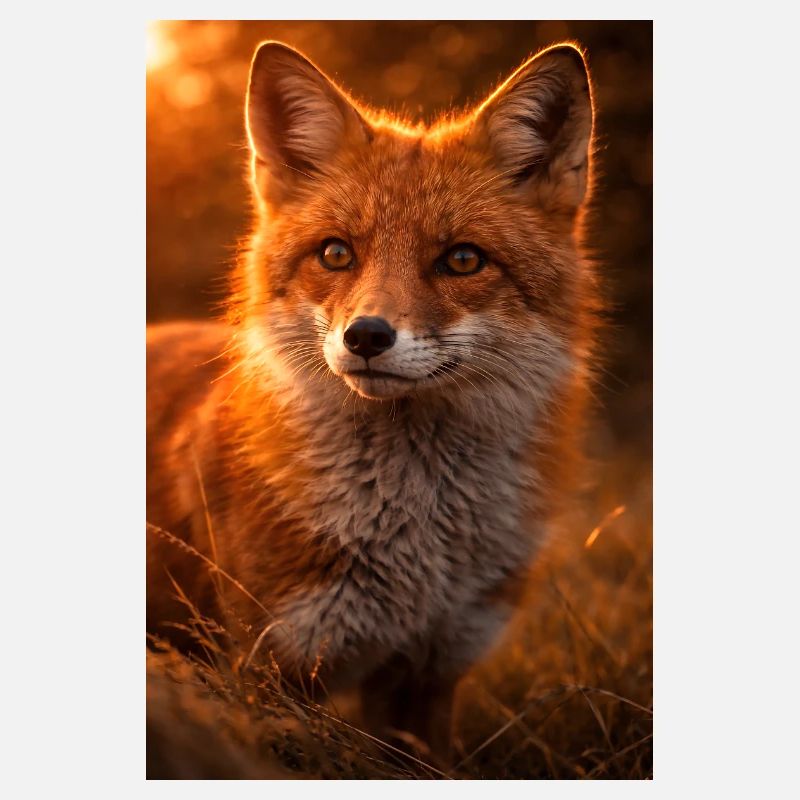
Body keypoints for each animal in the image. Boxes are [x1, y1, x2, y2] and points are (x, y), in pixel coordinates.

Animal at [147, 39, 598, 761]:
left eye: (463, 260)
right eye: (336, 253)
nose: (366, 336)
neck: (417, 545)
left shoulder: (431, 674)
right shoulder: (273, 672)